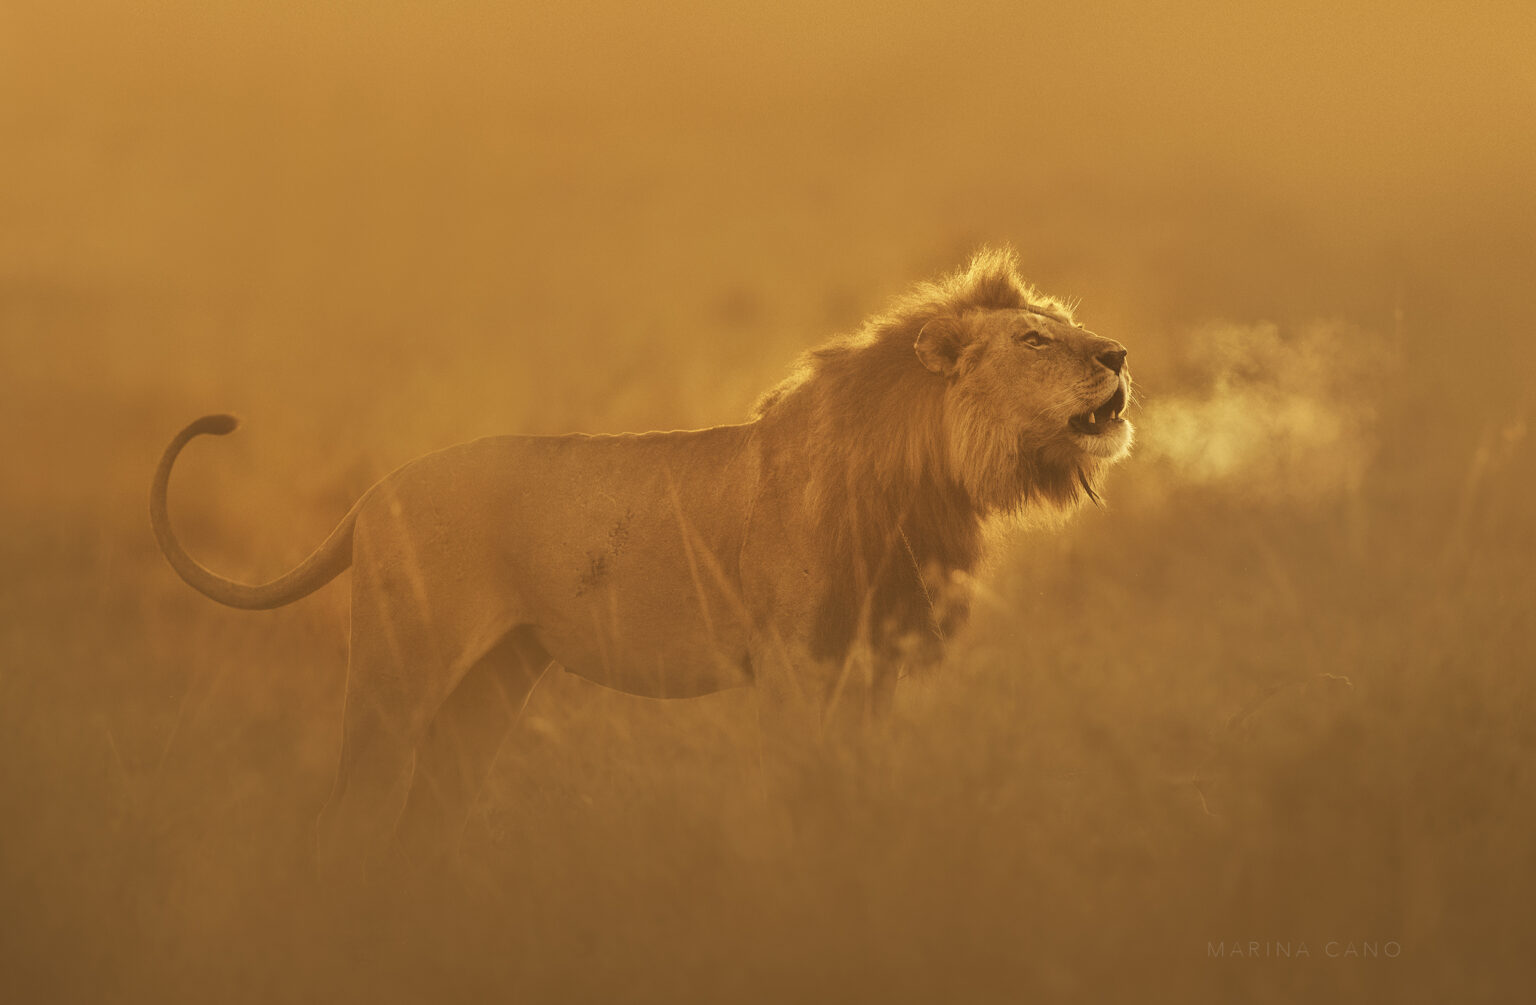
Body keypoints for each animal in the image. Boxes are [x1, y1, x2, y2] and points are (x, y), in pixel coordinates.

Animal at [149, 250, 1130, 872]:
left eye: (1070, 325)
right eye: (1035, 340)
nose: (1119, 353)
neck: (923, 480)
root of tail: (373, 494)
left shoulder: (873, 662)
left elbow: (854, 783)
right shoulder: (792, 664)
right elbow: (800, 786)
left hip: (494, 680)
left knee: (432, 808)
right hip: (399, 665)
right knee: (348, 810)